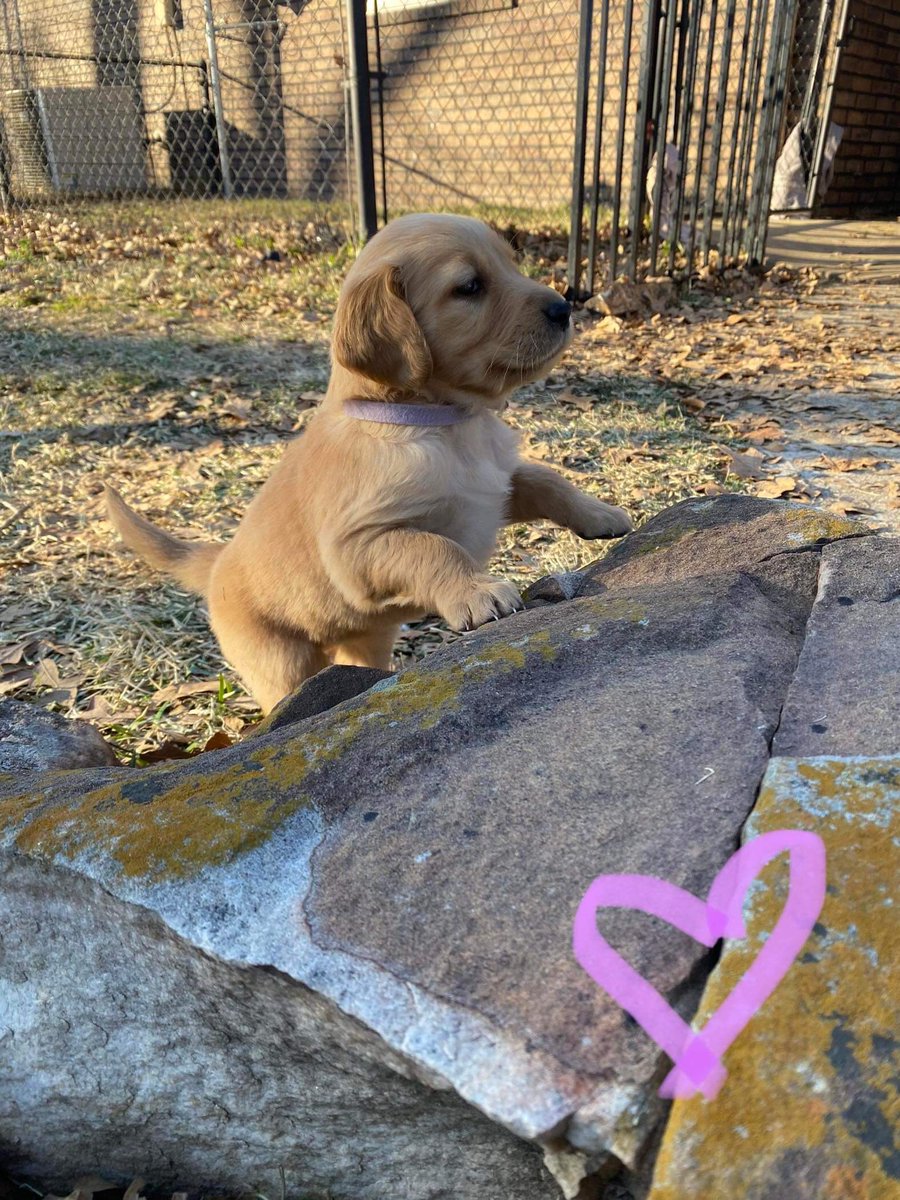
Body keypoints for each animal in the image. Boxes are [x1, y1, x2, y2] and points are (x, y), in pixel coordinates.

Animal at [107, 213, 633, 710]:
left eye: (512, 264)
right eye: (469, 287)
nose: (565, 308)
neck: (440, 423)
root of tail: (217, 560)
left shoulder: (495, 484)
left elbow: (547, 479)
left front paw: (603, 514)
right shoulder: (357, 543)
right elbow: (434, 547)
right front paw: (477, 592)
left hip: (367, 639)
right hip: (277, 657)